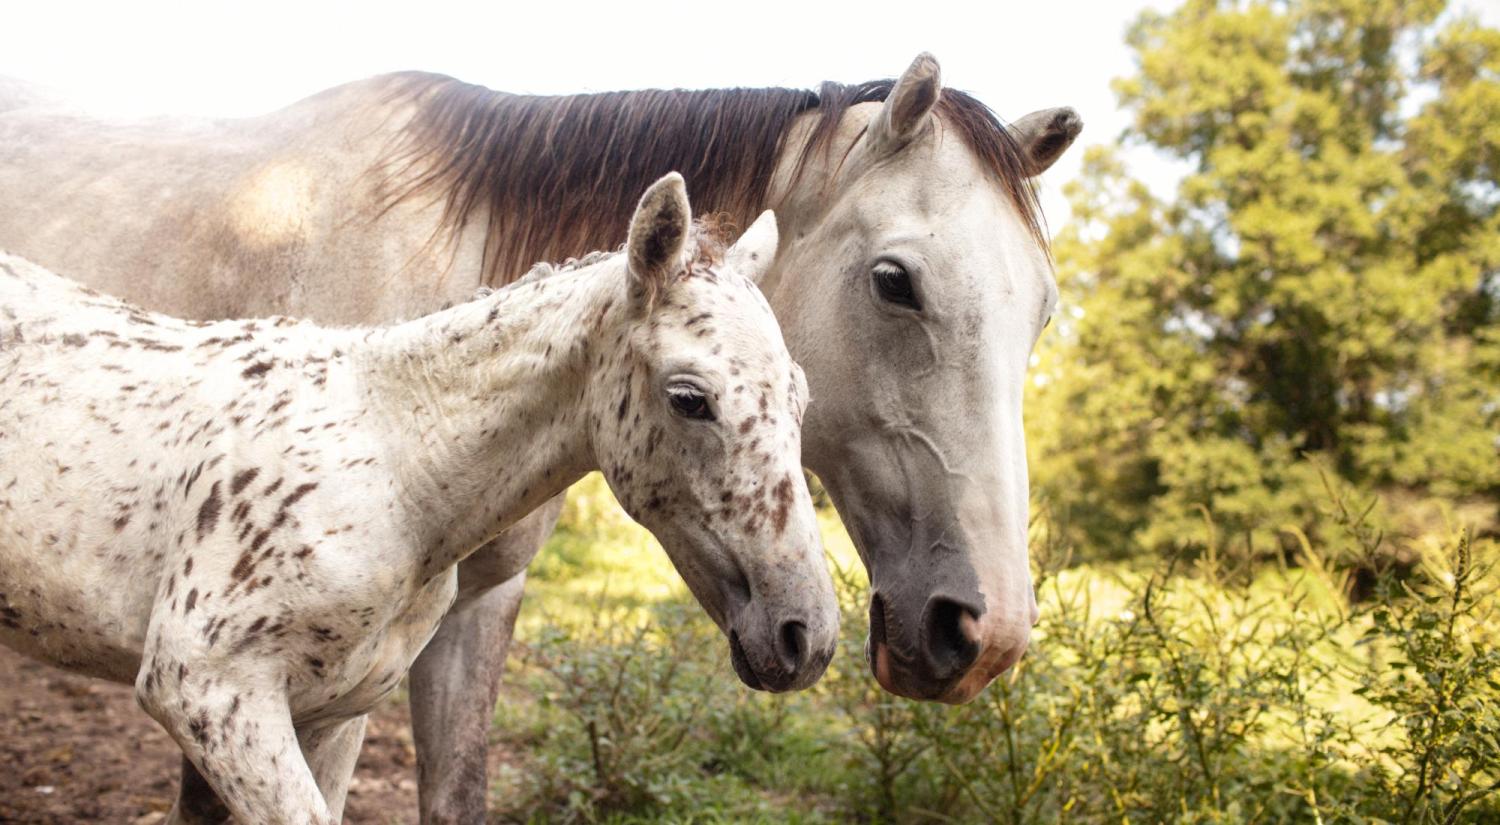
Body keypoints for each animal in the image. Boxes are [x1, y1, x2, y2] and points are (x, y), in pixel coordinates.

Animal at [0, 173, 840, 822]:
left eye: (800, 396)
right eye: (690, 398)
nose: (805, 637)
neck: (395, 467)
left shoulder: (331, 711)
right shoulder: (207, 690)